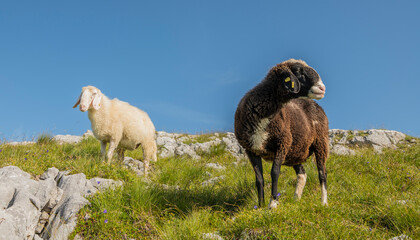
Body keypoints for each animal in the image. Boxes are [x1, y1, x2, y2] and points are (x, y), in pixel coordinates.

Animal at [233, 58, 328, 208]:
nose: (322, 88)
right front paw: (260, 206)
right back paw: (296, 199)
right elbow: (259, 178)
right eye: (298, 71)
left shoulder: (282, 143)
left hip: (320, 142)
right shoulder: (251, 149)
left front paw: (273, 204)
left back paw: (324, 202)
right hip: (296, 149)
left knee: (322, 173)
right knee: (302, 174)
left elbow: (275, 172)